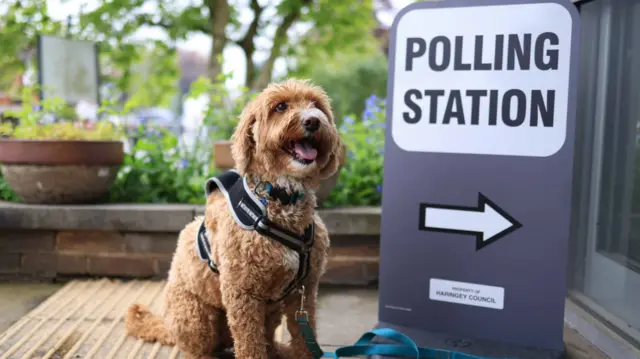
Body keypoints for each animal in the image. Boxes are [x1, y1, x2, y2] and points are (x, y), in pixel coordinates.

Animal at [125, 79, 344, 359]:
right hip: (194, 316)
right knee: (198, 349)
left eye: (316, 105)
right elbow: (250, 345)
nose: (313, 121)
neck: (279, 199)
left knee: (267, 339)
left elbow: (304, 339)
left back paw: (279, 350)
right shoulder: (242, 294)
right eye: (280, 107)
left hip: (270, 311)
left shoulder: (304, 292)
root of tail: (167, 325)